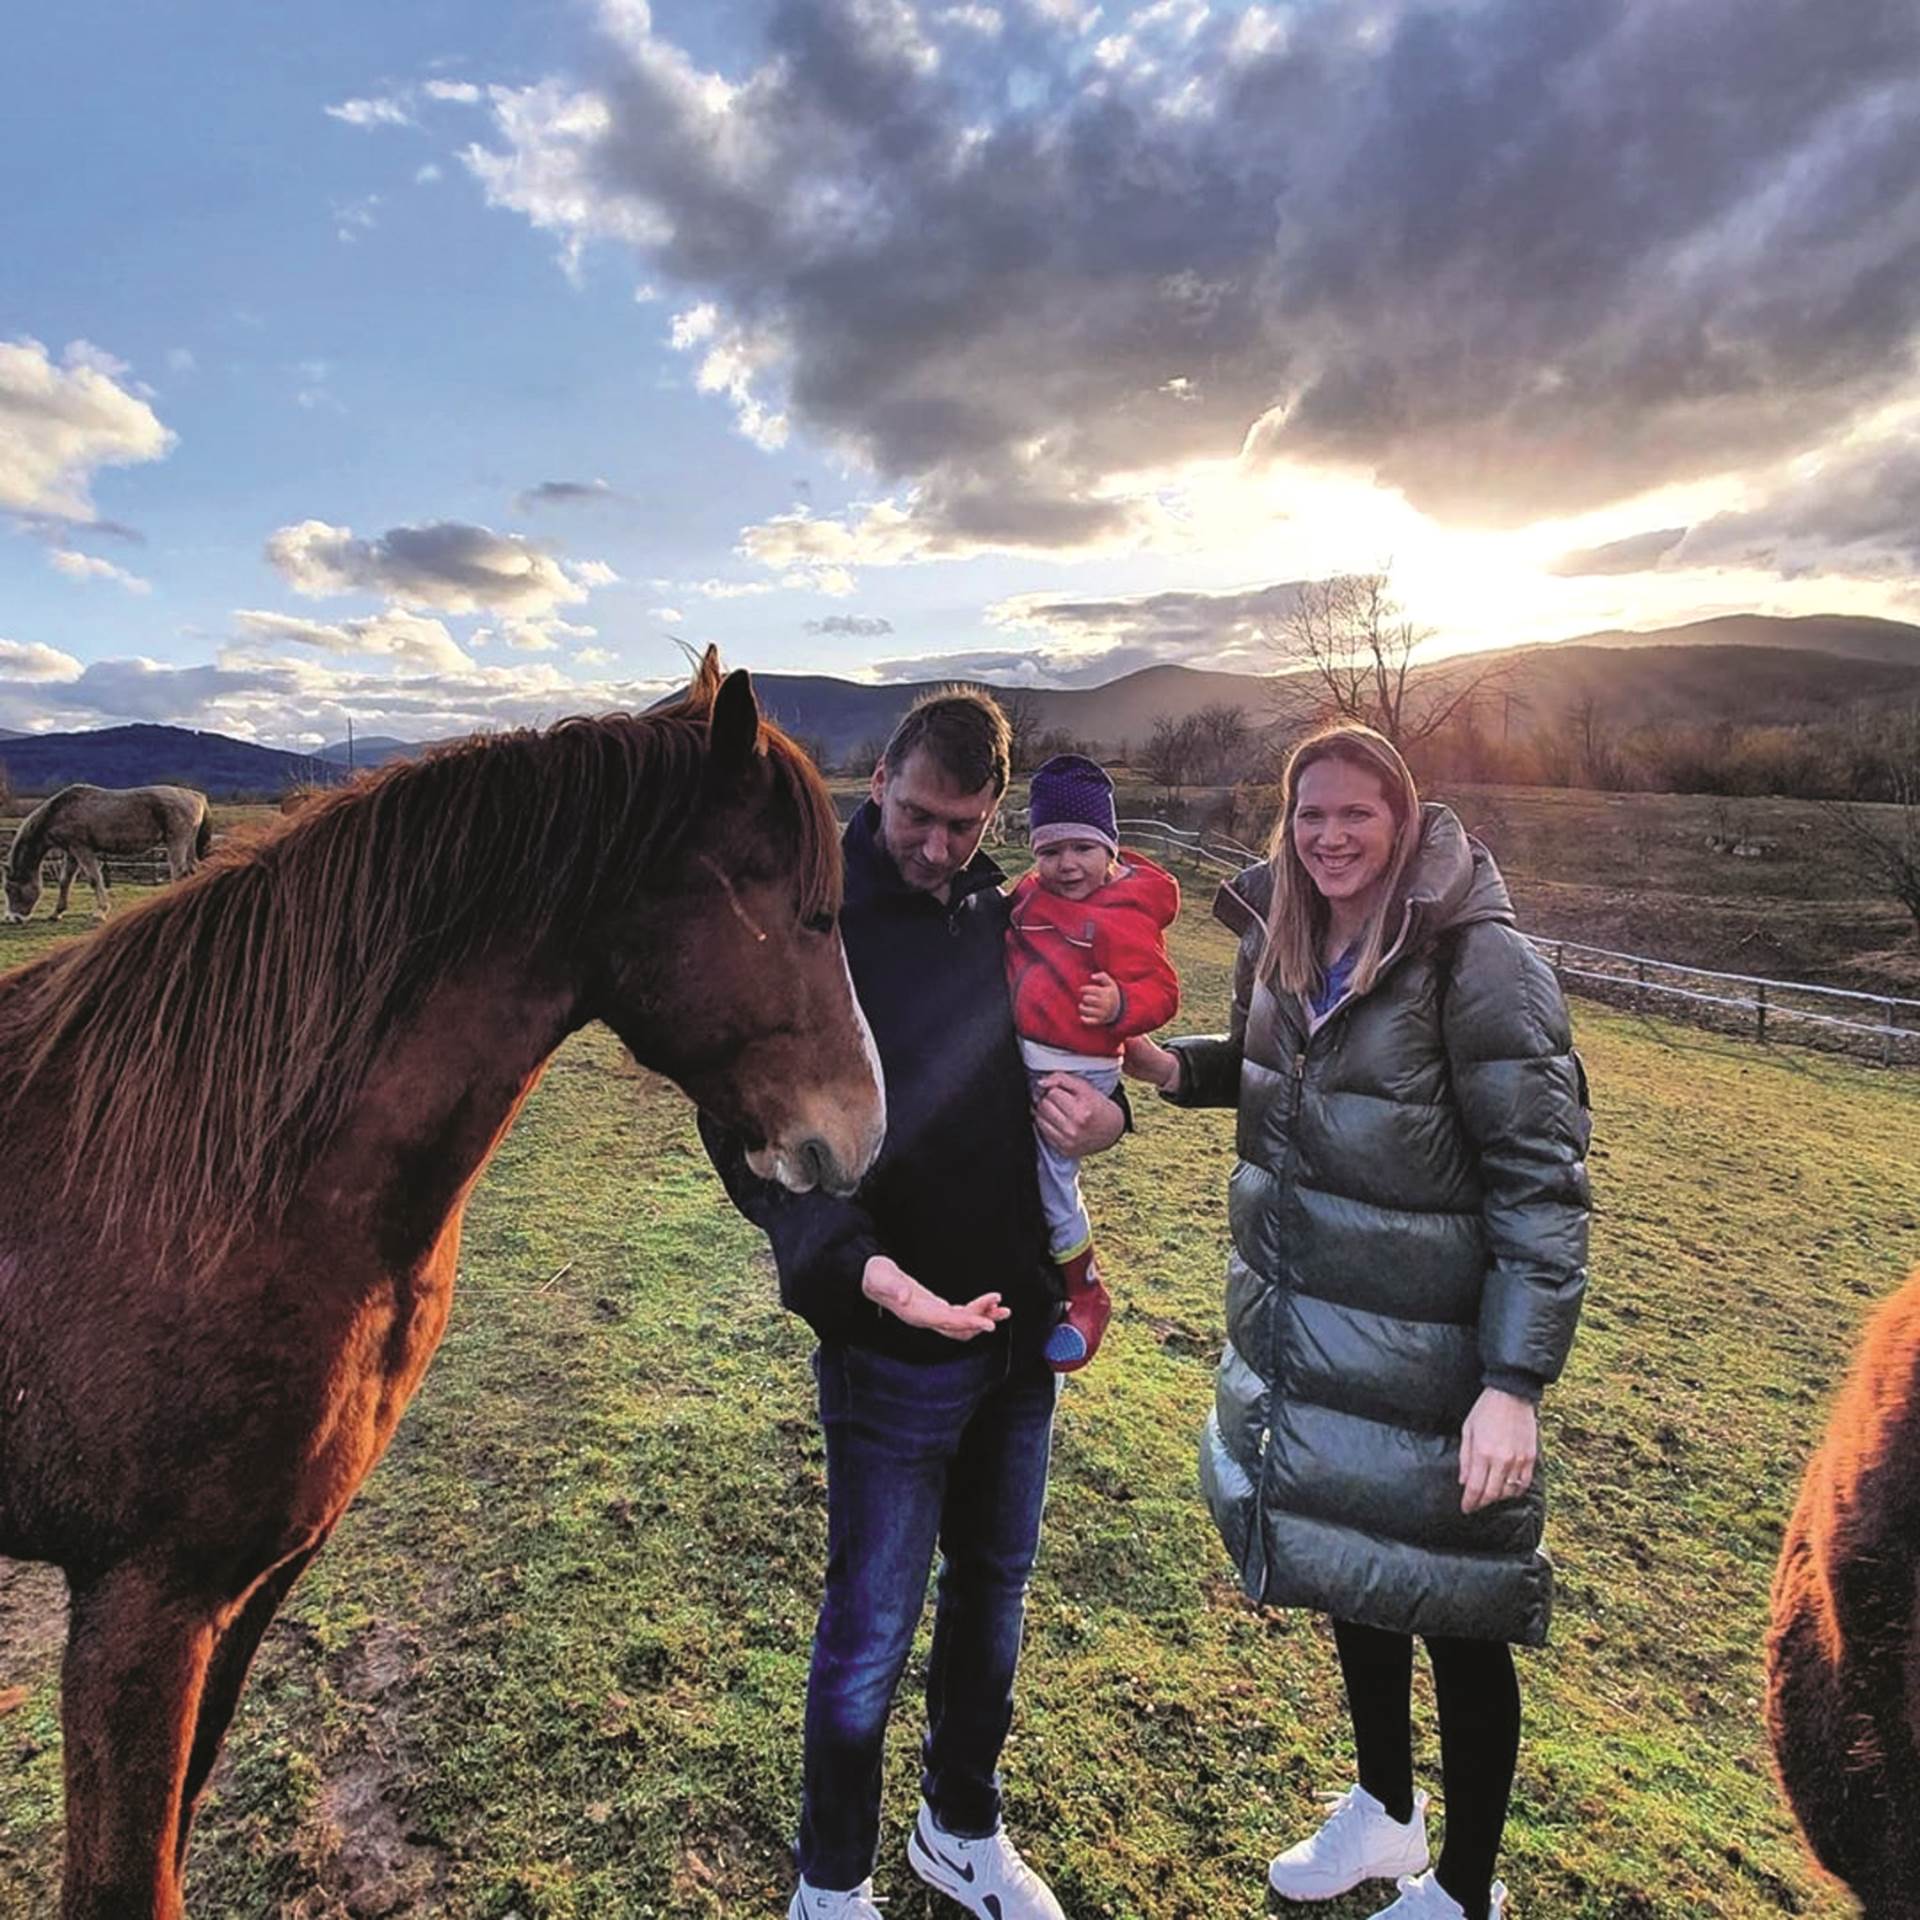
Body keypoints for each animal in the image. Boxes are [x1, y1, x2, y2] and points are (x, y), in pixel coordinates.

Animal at [3, 782, 213, 922]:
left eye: (9, 889)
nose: (14, 918)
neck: (59, 811)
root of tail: (195, 796)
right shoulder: (71, 852)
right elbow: (65, 881)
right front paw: (57, 913)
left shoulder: (82, 849)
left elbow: (94, 879)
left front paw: (100, 912)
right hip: (188, 845)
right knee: (193, 870)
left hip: (176, 843)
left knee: (179, 873)